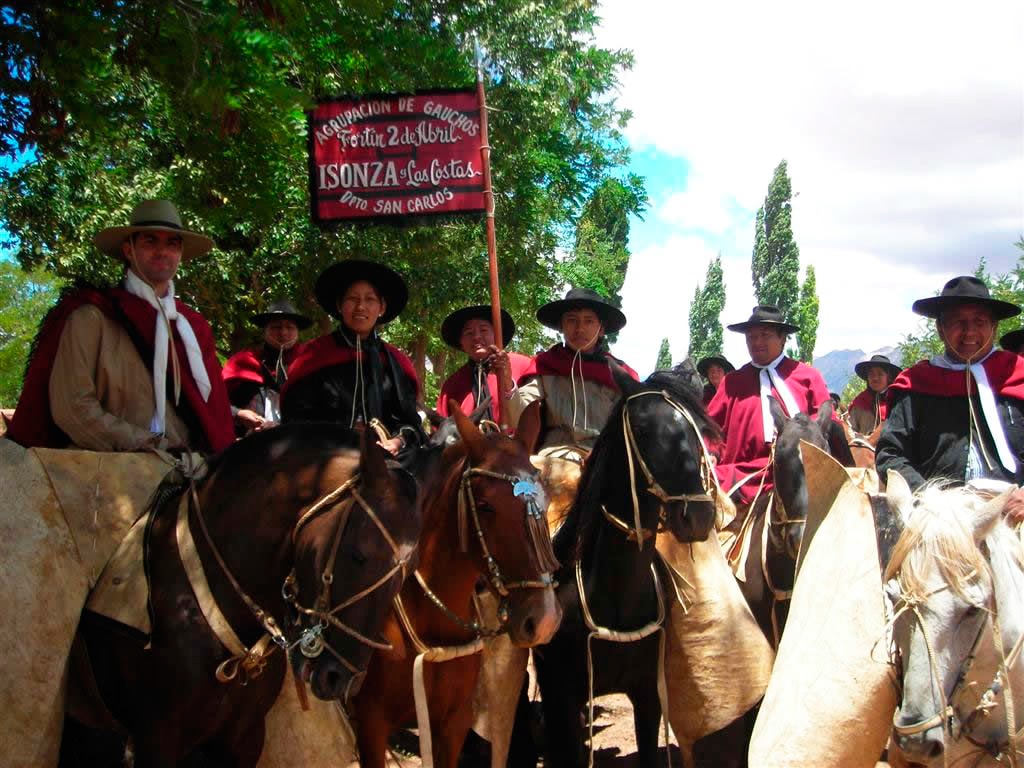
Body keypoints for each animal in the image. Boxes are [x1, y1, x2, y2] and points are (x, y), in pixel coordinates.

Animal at [532, 366, 716, 768]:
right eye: (643, 428)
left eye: (697, 430)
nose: (697, 516)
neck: (615, 594)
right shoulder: (562, 695)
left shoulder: (648, 696)